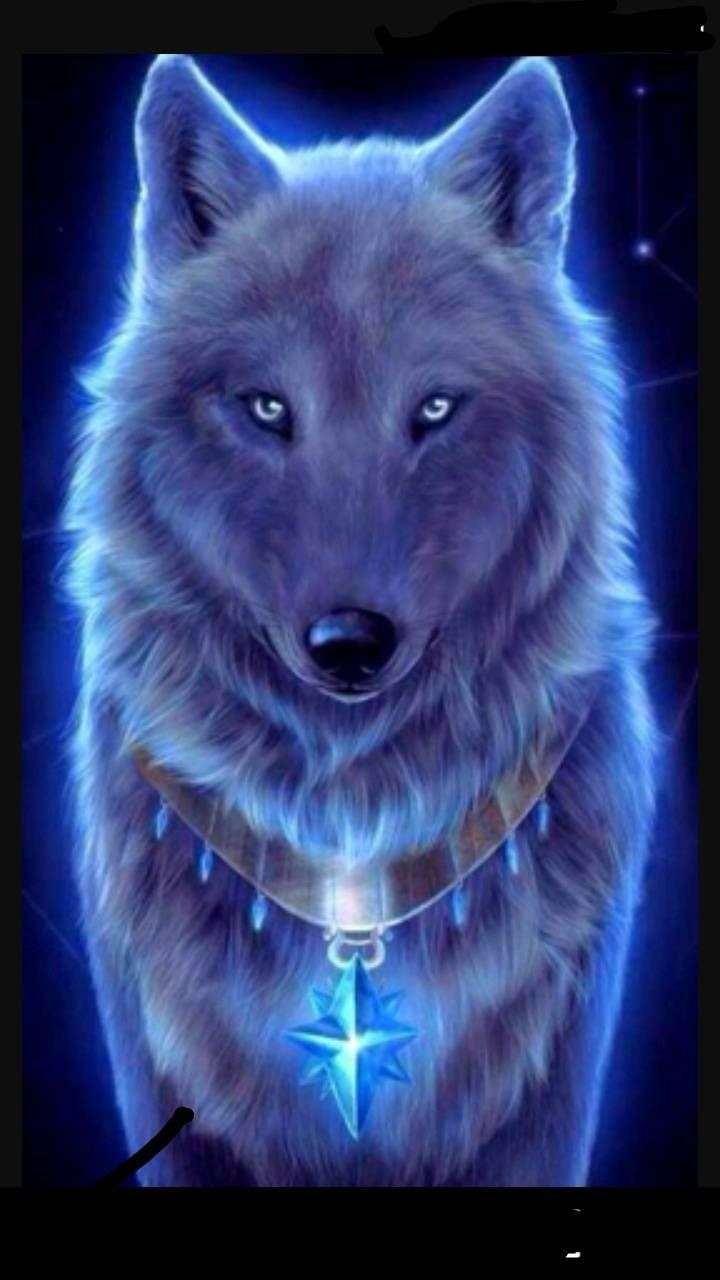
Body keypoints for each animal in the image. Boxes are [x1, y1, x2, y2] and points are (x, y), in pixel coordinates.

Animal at [64, 53, 658, 1187]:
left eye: (434, 409)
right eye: (266, 408)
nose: (349, 643)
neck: (352, 853)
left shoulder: (548, 1089)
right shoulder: (167, 1089)